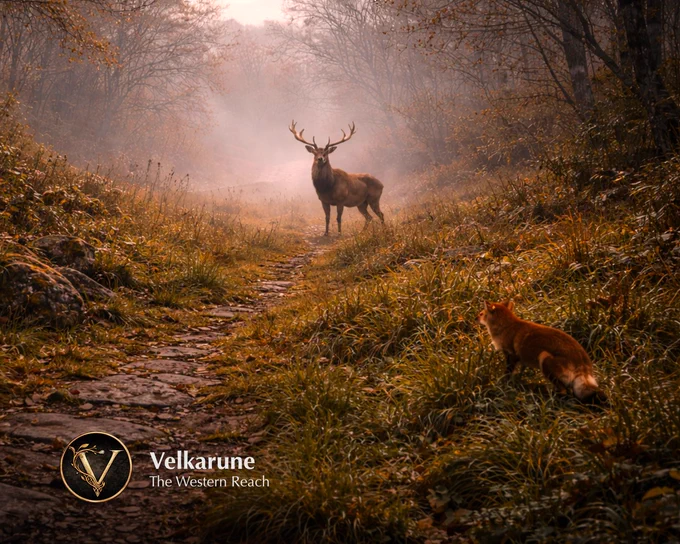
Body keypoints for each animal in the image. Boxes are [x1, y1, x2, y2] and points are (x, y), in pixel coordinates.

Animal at [477, 300, 606, 404]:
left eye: (481, 313)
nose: (475, 317)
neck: (506, 327)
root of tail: (584, 364)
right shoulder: (520, 359)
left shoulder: (511, 355)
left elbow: (507, 375)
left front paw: (503, 385)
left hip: (544, 358)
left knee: (564, 391)